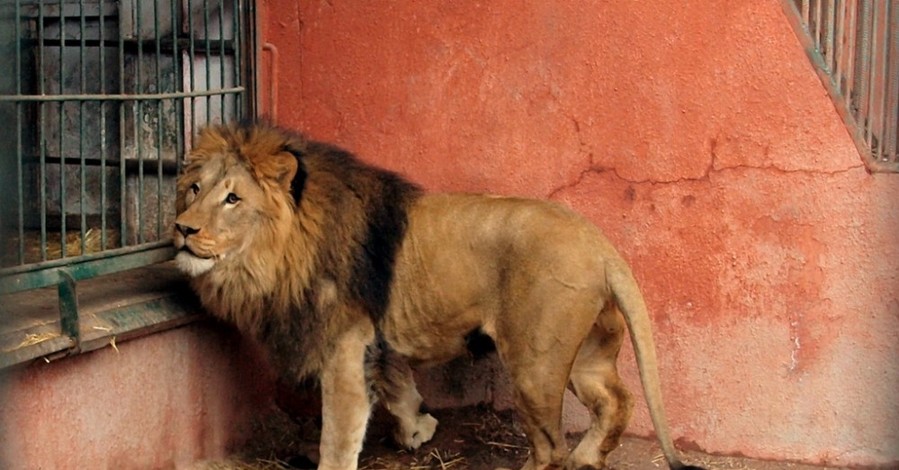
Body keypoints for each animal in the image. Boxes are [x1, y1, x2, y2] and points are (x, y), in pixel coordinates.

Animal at [171, 122, 704, 470]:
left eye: (233, 198)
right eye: (194, 189)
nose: (181, 229)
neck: (273, 257)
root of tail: (602, 246)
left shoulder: (342, 346)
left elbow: (339, 435)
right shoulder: (374, 341)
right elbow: (397, 385)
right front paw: (419, 428)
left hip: (535, 363)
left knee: (550, 445)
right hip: (586, 354)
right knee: (617, 403)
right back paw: (588, 459)